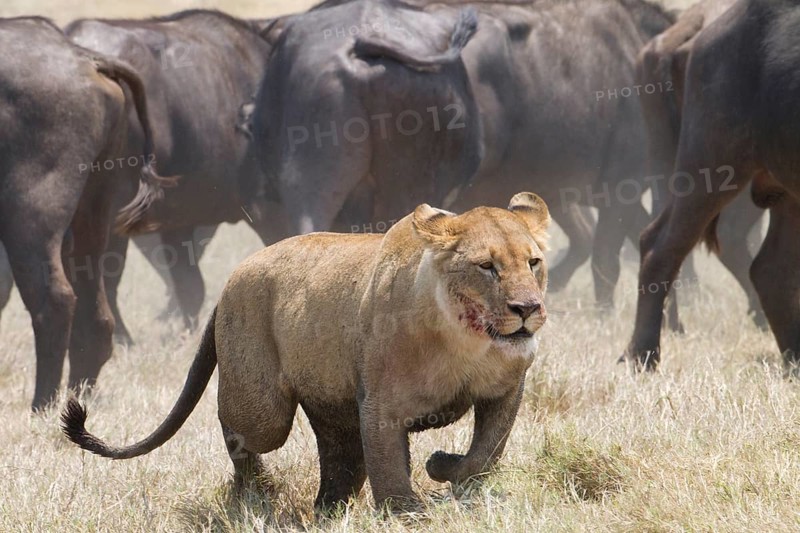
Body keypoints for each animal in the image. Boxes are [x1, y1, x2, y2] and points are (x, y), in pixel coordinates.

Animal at [61, 192, 551, 513]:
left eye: (533, 263)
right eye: (486, 267)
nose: (527, 309)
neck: (462, 342)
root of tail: (232, 278)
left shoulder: (505, 391)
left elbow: (484, 454)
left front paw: (443, 467)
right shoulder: (381, 404)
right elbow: (389, 467)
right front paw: (407, 513)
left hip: (332, 402)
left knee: (340, 460)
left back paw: (325, 510)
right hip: (264, 409)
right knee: (238, 431)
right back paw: (257, 492)